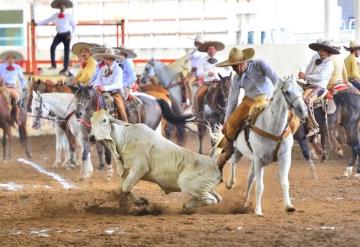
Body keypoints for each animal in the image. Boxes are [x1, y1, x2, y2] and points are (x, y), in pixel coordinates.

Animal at [89, 110, 222, 210]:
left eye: (104, 120)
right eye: (91, 120)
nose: (91, 137)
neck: (124, 138)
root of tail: (214, 163)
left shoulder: (139, 168)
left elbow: (125, 187)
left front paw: (140, 201)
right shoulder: (127, 172)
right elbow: (124, 188)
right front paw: (140, 201)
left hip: (188, 185)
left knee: (212, 200)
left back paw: (188, 204)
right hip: (203, 188)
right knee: (217, 198)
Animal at [212, 77, 308, 216]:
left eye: (301, 90)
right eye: (287, 92)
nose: (303, 111)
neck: (272, 128)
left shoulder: (285, 158)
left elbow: (285, 183)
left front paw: (289, 206)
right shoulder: (259, 160)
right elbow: (259, 186)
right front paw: (258, 210)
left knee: (250, 178)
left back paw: (244, 202)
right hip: (237, 151)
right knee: (231, 161)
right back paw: (230, 183)